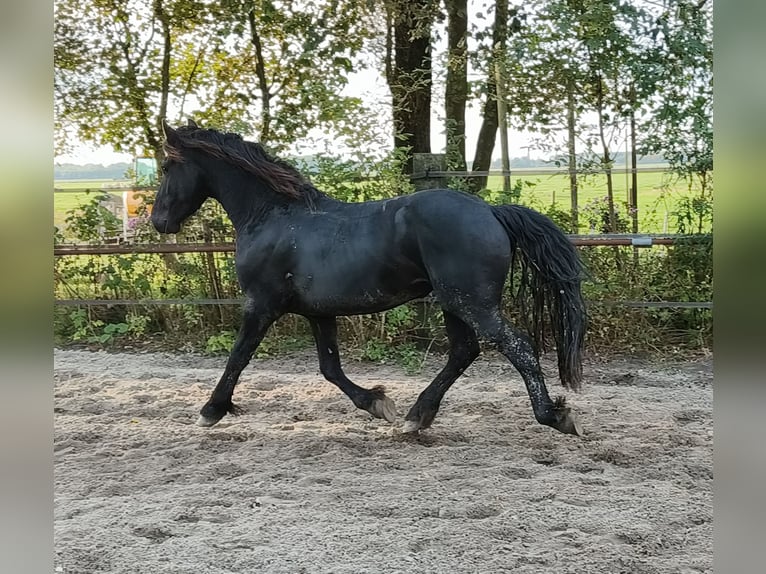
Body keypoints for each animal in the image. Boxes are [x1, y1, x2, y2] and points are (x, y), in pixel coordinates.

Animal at [151, 120, 587, 436]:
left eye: (167, 166)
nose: (158, 221)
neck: (273, 216)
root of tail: (492, 212)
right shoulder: (318, 313)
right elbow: (329, 368)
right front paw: (377, 403)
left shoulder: (262, 304)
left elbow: (238, 356)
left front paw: (210, 410)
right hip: (454, 303)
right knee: (464, 352)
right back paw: (416, 416)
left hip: (472, 302)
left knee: (517, 347)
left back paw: (554, 416)